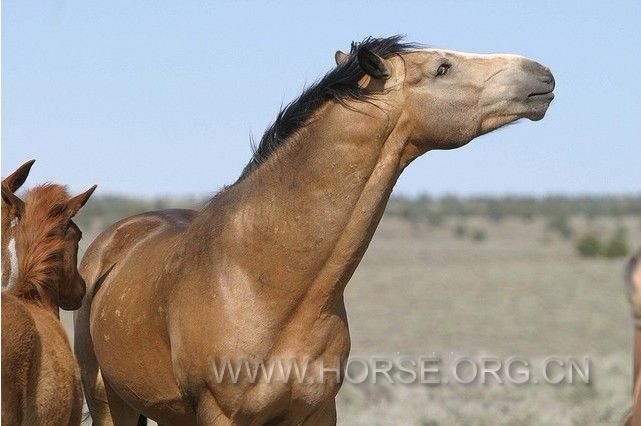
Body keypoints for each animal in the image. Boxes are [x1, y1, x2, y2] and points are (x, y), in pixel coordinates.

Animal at [75, 35, 556, 424]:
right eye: (442, 68)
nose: (542, 73)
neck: (262, 280)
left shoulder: (318, 411)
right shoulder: (220, 415)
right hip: (109, 403)